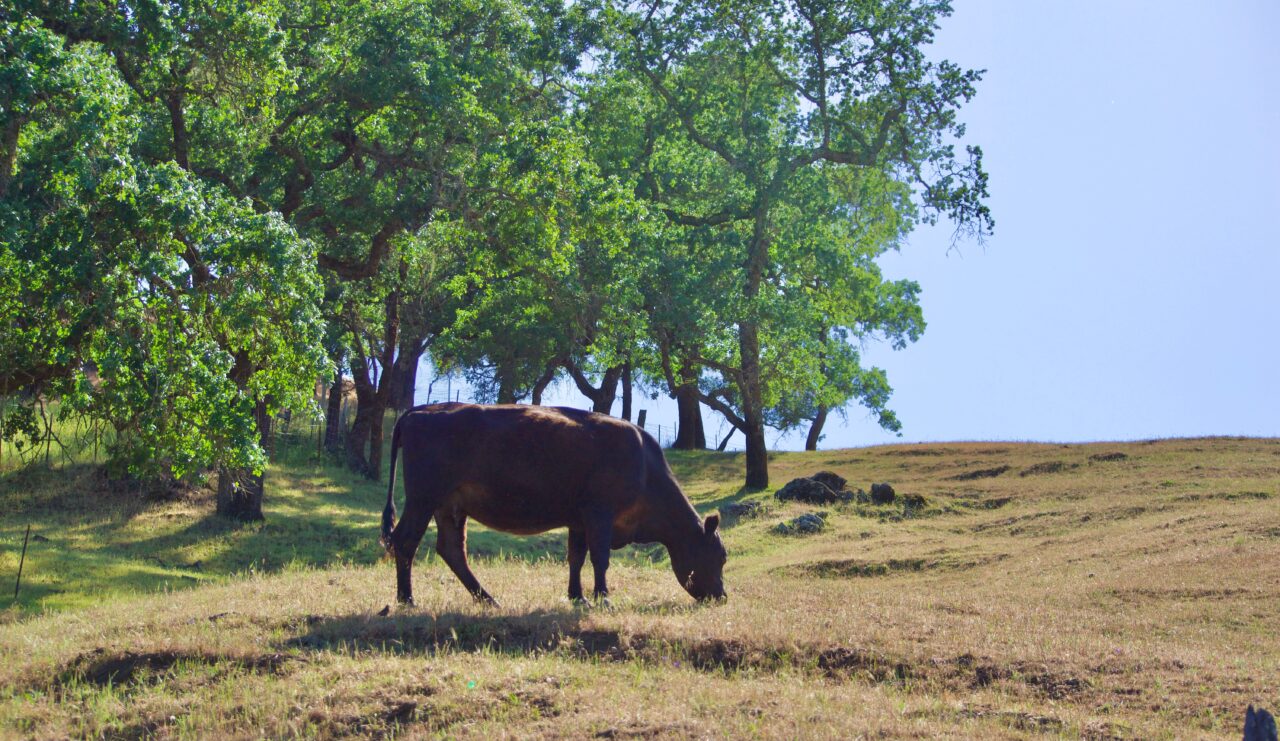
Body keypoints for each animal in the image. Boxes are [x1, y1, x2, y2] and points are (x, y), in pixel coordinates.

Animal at [379, 403, 727, 606]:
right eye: (721, 556)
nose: (722, 596)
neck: (645, 469)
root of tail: (419, 411)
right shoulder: (599, 513)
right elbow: (600, 558)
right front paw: (603, 599)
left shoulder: (579, 520)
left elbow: (576, 557)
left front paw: (578, 597)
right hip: (424, 497)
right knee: (405, 541)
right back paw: (407, 599)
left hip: (450, 505)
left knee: (452, 550)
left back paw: (487, 600)